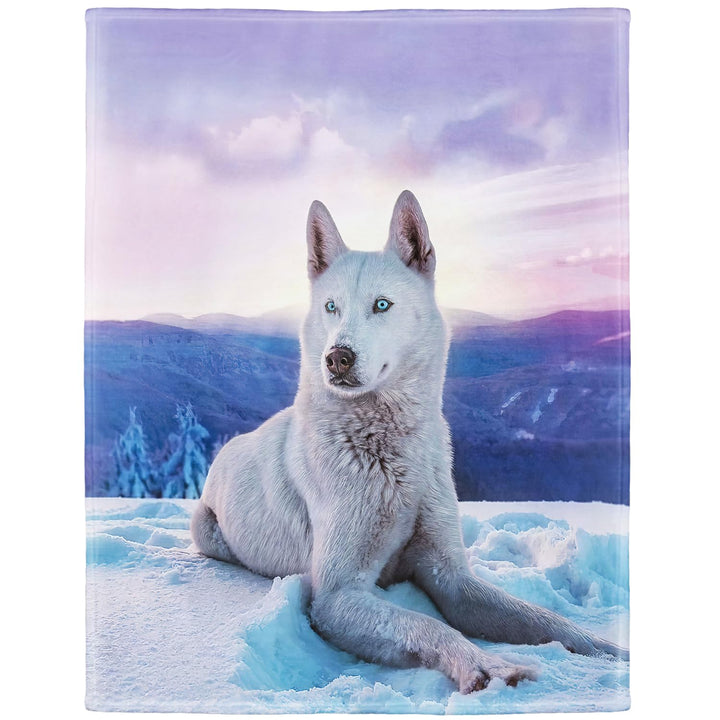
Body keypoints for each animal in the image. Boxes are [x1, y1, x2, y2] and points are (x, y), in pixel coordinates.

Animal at [191, 190, 628, 693]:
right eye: (331, 307)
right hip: (206, 531)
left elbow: (543, 619)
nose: (337, 358)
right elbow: (428, 625)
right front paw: (487, 667)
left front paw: (607, 651)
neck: (391, 455)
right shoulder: (337, 595)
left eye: (382, 305)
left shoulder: (451, 577)